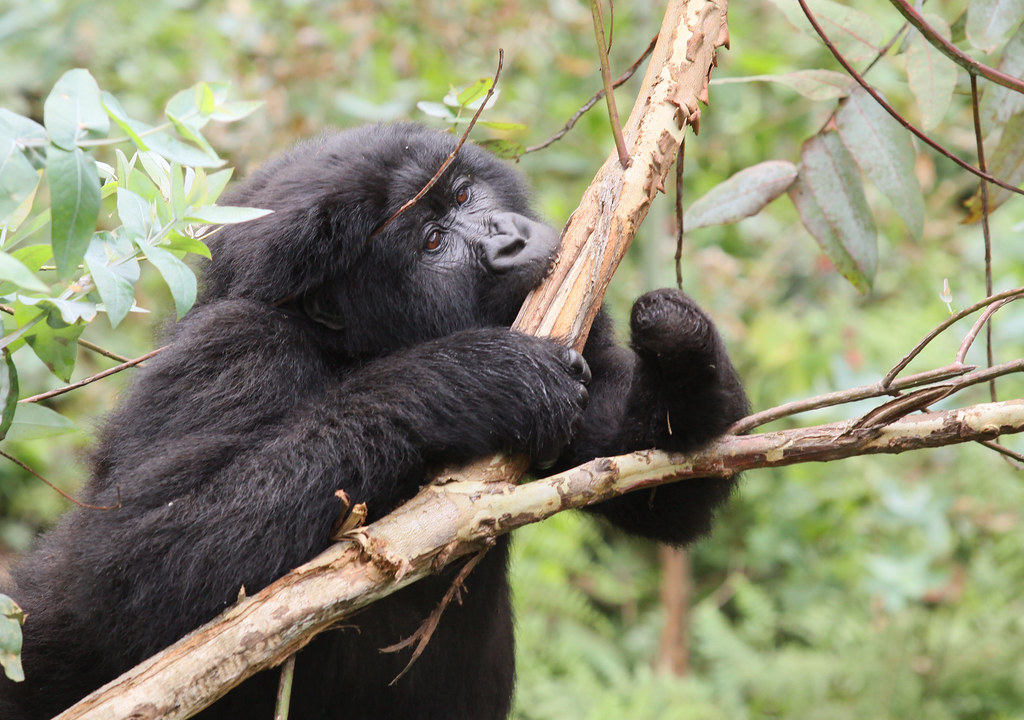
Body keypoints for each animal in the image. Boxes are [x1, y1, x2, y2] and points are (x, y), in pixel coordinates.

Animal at [0, 123, 745, 720]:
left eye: (464, 196)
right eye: (433, 241)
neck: (347, 346)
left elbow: (653, 480)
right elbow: (131, 572)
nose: (510, 240)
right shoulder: (236, 349)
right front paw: (462, 379)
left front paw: (676, 341)